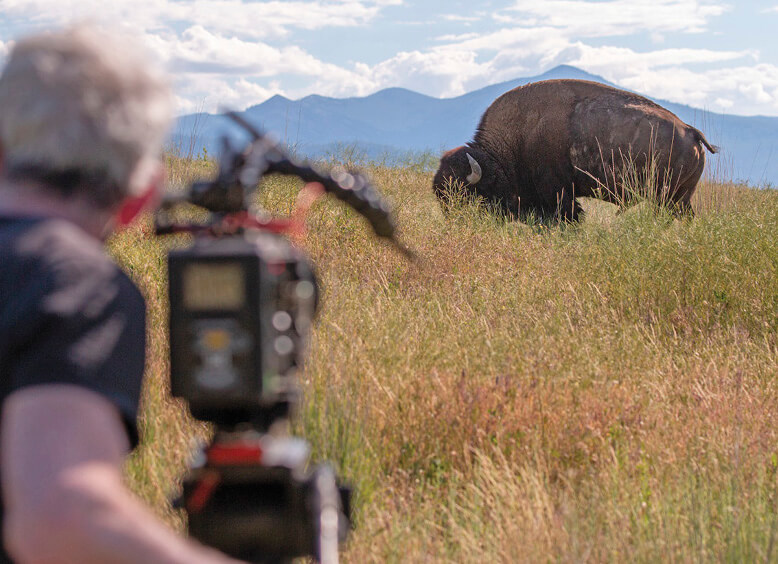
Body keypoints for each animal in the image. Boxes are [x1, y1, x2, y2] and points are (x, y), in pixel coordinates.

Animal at [430, 79, 716, 220]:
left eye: (466, 195)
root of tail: (691, 132)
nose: (457, 224)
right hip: (679, 198)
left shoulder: (559, 194)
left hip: (669, 198)